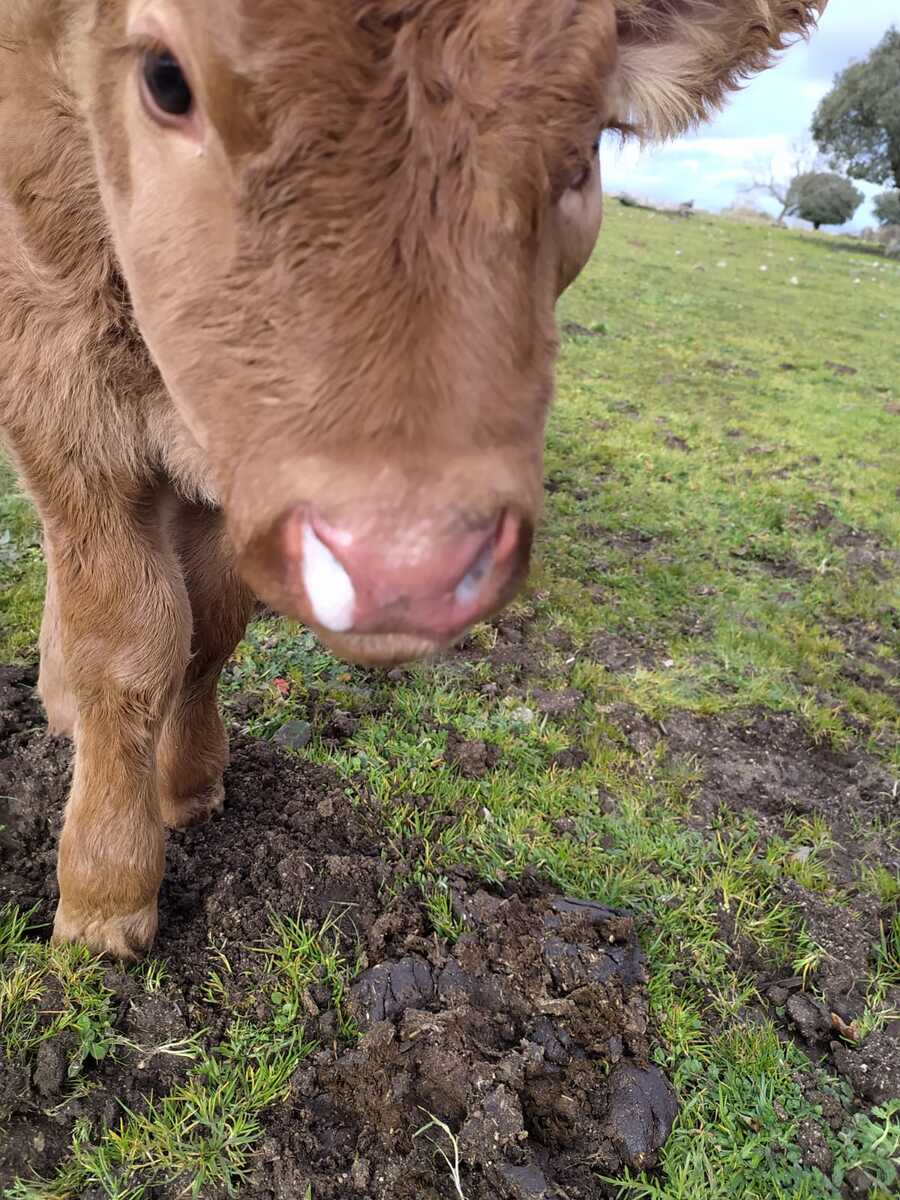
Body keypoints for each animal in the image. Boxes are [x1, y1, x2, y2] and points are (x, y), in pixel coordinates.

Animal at [0, 0, 826, 958]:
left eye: (583, 147)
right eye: (167, 79)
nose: (405, 565)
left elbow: (208, 627)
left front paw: (188, 786)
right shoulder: (58, 399)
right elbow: (126, 643)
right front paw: (103, 898)